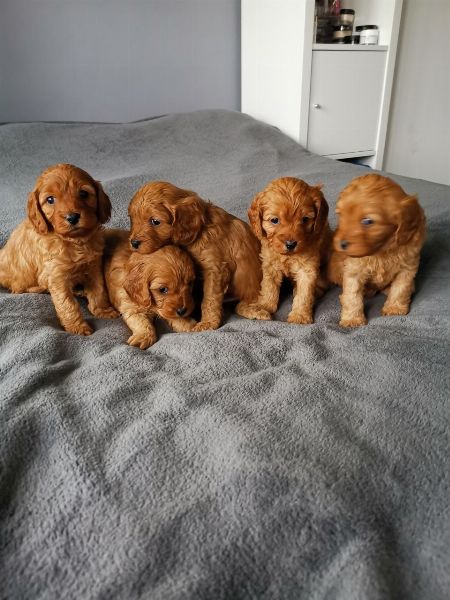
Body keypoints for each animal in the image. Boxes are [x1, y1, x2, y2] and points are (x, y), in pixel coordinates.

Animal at [0, 162, 118, 336]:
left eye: (83, 193)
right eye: (50, 199)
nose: (72, 217)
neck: (75, 242)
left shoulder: (93, 267)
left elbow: (99, 290)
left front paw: (103, 310)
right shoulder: (57, 277)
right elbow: (67, 304)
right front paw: (77, 327)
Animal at [127, 183, 260, 332]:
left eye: (155, 221)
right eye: (132, 220)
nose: (133, 243)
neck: (201, 231)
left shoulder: (216, 269)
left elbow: (209, 299)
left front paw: (208, 322)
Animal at [246, 176, 330, 324]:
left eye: (305, 219)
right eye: (274, 220)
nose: (290, 244)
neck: (287, 255)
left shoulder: (307, 268)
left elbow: (304, 294)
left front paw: (300, 316)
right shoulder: (270, 264)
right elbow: (269, 287)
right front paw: (264, 306)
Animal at [326, 172, 426, 328]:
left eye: (367, 221)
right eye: (340, 215)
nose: (341, 244)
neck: (381, 250)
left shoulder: (408, 268)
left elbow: (401, 288)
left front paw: (394, 308)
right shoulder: (353, 270)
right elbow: (352, 296)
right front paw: (352, 319)